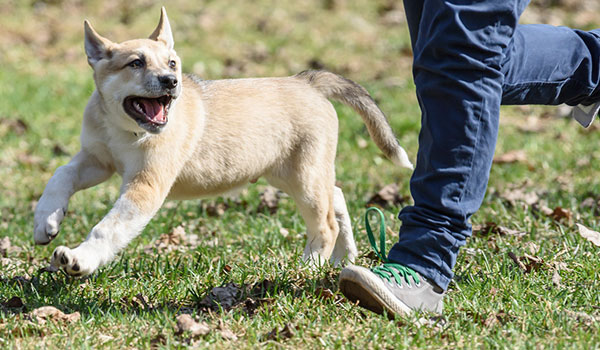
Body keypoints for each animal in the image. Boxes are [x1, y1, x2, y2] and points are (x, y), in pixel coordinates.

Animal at [34, 7, 412, 276]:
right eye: (136, 63)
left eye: (172, 63)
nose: (171, 81)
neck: (124, 128)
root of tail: (308, 81)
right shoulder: (96, 160)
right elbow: (60, 174)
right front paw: (45, 222)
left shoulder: (144, 186)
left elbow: (107, 228)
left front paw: (78, 259)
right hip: (291, 173)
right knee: (337, 196)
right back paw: (344, 257)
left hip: (304, 177)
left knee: (326, 223)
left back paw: (309, 266)